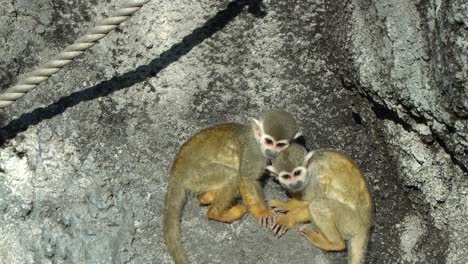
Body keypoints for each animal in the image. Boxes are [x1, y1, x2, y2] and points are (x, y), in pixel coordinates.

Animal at [163, 109, 300, 264]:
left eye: (280, 145)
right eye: (269, 141)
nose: (271, 151)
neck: (257, 139)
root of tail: (176, 173)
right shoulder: (254, 152)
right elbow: (247, 178)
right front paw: (262, 212)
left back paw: (206, 198)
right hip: (197, 175)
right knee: (233, 176)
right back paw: (217, 212)